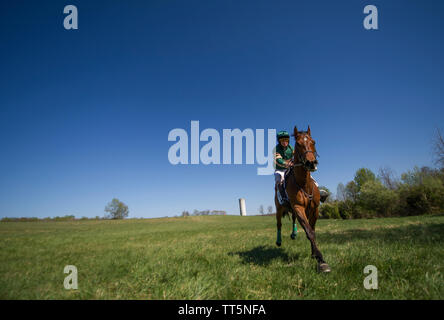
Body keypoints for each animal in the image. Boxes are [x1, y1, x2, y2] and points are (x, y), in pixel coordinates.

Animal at [272, 125, 332, 272]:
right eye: (298, 144)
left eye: (313, 142)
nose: (311, 163)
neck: (303, 183)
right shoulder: (298, 207)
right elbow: (309, 232)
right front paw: (321, 260)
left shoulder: (314, 209)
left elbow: (312, 230)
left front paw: (314, 254)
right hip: (279, 209)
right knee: (279, 224)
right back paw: (279, 241)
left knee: (293, 219)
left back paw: (294, 234)